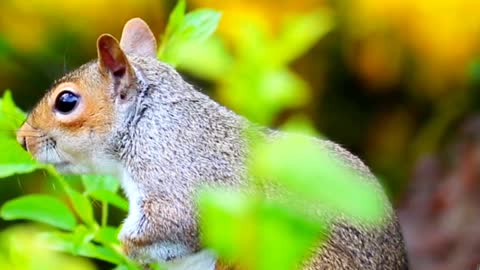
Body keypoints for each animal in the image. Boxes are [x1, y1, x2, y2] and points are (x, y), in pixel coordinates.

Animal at [15, 17, 406, 268]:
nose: (20, 138)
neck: (147, 123)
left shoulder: (177, 177)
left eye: (66, 101)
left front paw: (124, 248)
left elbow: (173, 222)